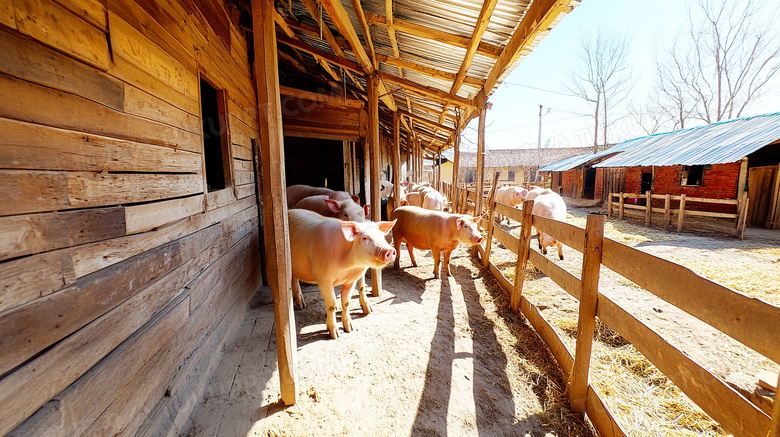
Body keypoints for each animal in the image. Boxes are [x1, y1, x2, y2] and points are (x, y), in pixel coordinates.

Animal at [288, 209, 396, 338]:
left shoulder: (351, 280)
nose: (390, 250)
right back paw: (300, 306)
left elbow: (346, 302)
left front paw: (350, 329)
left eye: (382, 236)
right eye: (365, 238)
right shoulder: (323, 279)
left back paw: (302, 304)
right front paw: (335, 334)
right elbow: (331, 305)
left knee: (294, 279)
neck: (347, 267)